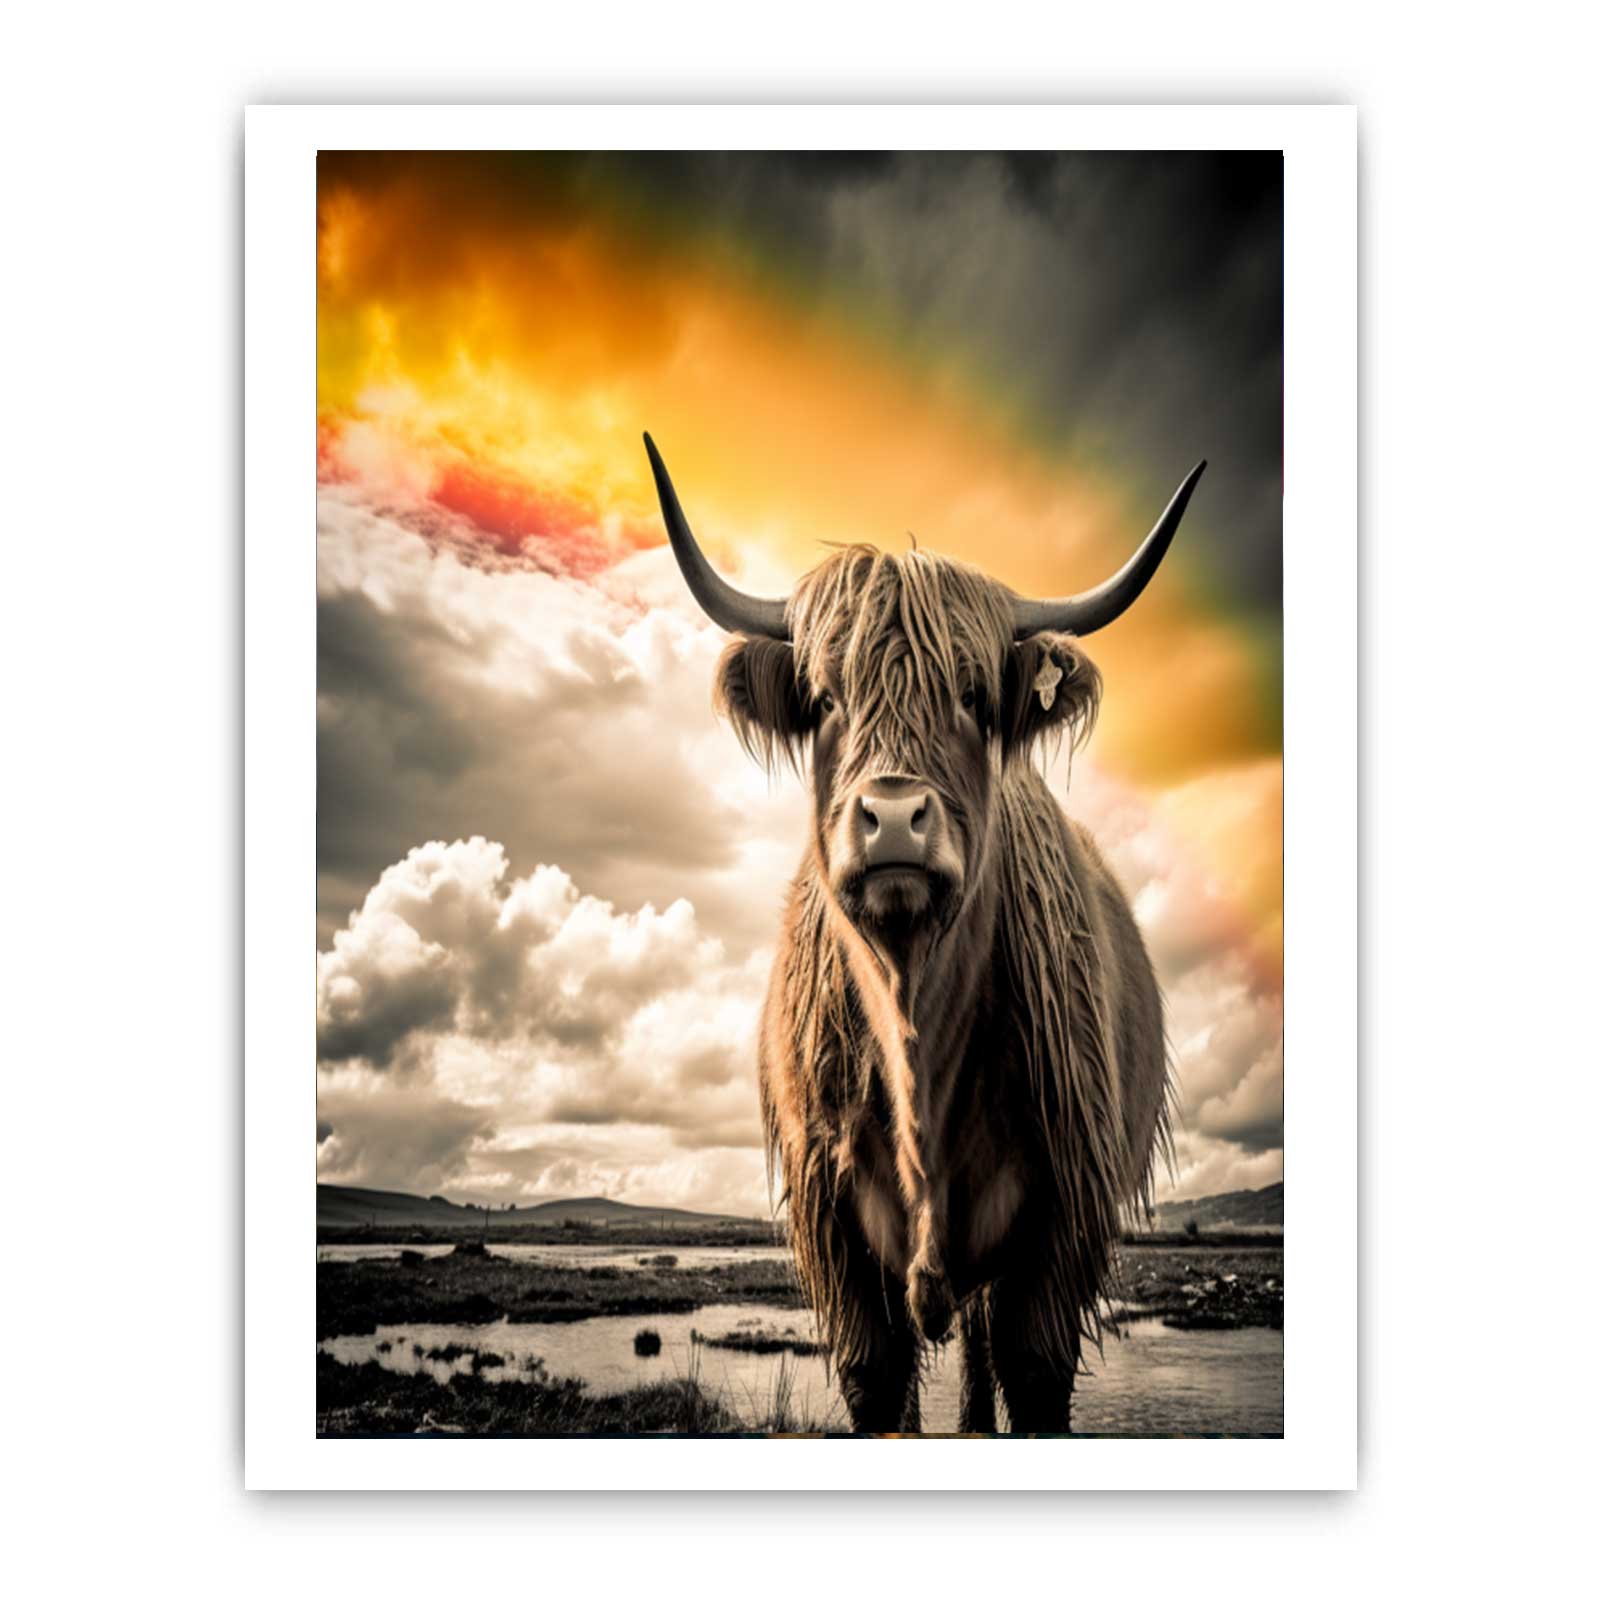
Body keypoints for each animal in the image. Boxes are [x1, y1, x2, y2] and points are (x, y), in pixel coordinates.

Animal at [643, 434, 1205, 1433]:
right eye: (824, 698)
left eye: (975, 696)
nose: (895, 819)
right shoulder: (834, 1228)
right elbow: (875, 1381)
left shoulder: (1061, 1222)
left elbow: (1033, 1372)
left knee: (980, 1351)